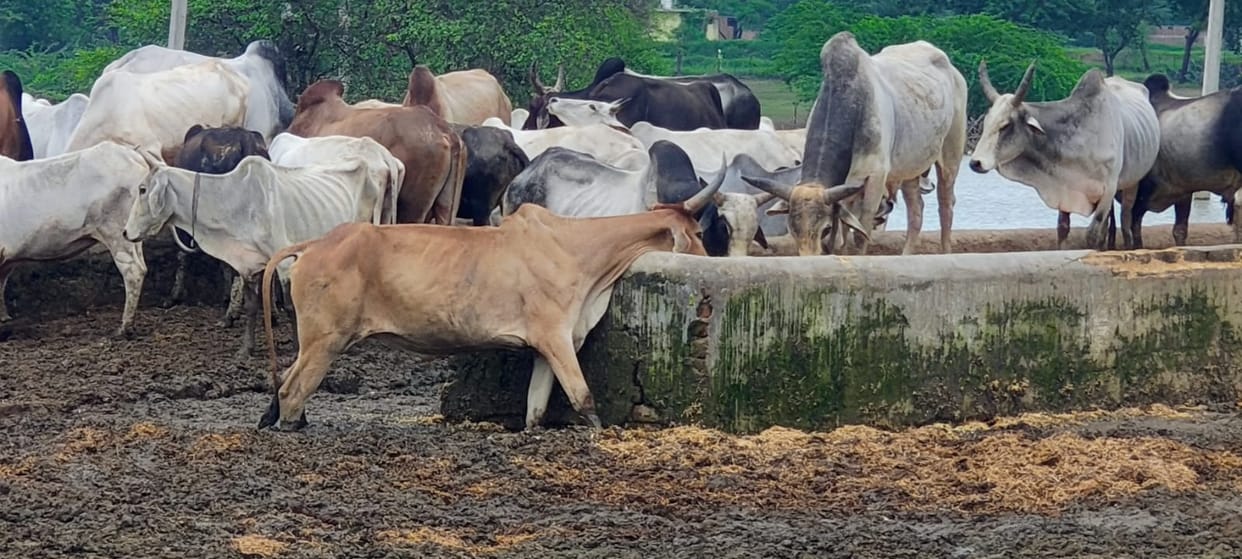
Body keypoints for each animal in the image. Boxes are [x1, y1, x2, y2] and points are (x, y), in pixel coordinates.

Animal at [122, 153, 386, 357]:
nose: (126, 232)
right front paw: (246, 349)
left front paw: (296, 348)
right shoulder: (248, 265)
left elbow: (290, 307)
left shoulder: (283, 262)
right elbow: (251, 306)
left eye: (143, 189)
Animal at [256, 199, 714, 432]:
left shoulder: (543, 348)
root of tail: (315, 243)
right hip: (326, 341)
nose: (712, 257)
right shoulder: (556, 337)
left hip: (316, 341)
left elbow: (535, 408)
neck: (576, 249)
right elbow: (583, 398)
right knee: (293, 390)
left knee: (286, 382)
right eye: (698, 234)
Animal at [742, 33, 968, 256]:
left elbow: (860, 235)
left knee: (946, 205)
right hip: (911, 168)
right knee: (916, 211)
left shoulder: (875, 178)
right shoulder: (846, 187)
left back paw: (946, 251)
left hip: (951, 155)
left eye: (825, 229)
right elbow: (842, 236)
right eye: (792, 230)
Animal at [970, 63, 1161, 250]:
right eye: (986, 122)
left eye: (1006, 125)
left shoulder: (1108, 190)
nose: (975, 163)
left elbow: (1092, 235)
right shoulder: (1064, 188)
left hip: (1132, 183)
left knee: (1125, 218)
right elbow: (1062, 229)